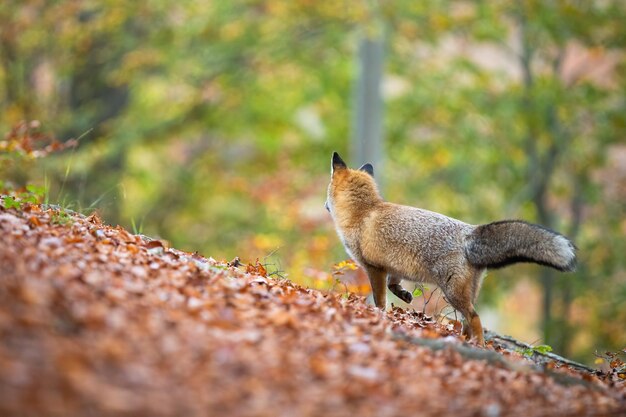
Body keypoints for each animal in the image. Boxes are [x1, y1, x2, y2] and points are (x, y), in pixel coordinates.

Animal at [326, 153, 576, 344]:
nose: (324, 205)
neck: (363, 212)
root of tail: (469, 232)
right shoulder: (392, 266)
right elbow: (393, 285)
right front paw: (404, 295)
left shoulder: (374, 267)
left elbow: (380, 299)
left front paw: (378, 315)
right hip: (465, 293)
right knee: (467, 320)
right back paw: (465, 340)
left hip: (452, 293)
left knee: (474, 318)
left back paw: (477, 344)